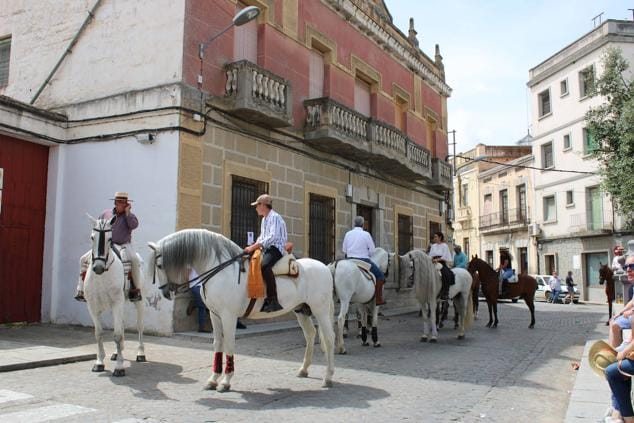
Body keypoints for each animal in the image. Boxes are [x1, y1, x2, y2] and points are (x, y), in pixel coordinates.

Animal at [84, 217, 146, 376]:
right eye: (92, 237)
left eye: (109, 239)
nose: (98, 267)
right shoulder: (92, 307)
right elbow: (99, 333)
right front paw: (99, 362)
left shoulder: (117, 303)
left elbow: (117, 335)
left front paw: (119, 367)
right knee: (121, 325)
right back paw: (117, 353)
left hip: (139, 302)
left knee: (139, 326)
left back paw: (140, 354)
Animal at [148, 230, 336, 392]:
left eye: (159, 265)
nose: (166, 292)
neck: (221, 271)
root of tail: (325, 267)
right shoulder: (215, 315)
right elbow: (218, 344)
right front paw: (213, 379)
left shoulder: (228, 316)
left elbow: (229, 344)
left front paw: (225, 381)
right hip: (301, 310)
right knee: (310, 335)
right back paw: (304, 369)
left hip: (320, 310)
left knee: (329, 338)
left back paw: (328, 377)